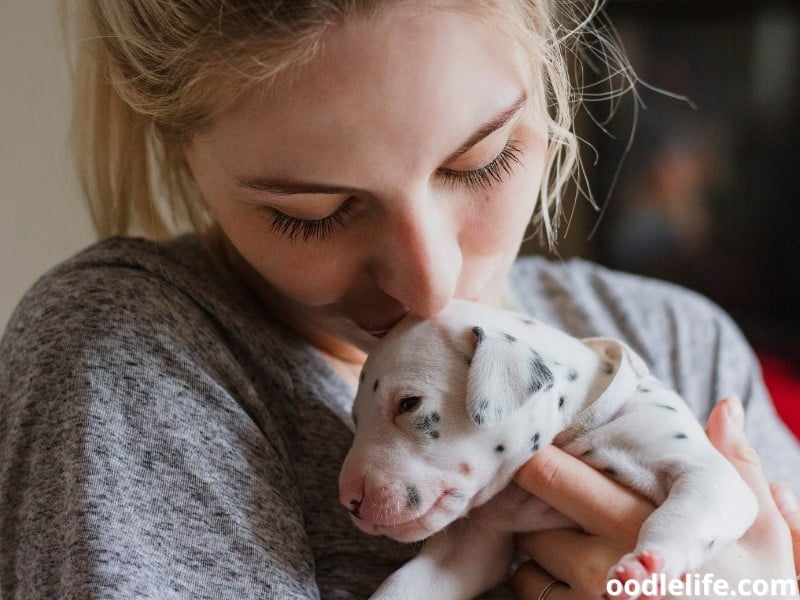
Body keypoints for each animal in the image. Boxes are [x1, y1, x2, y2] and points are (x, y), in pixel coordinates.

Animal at [340, 298, 764, 596]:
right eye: (355, 420)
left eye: (408, 403)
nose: (349, 501)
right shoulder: (473, 544)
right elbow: (405, 585)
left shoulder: (708, 473)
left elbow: (678, 514)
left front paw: (649, 565)